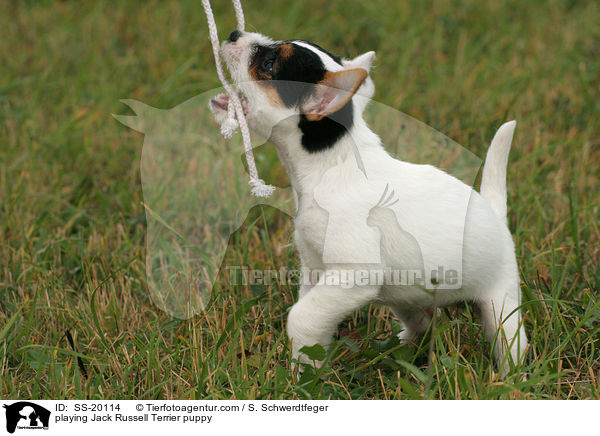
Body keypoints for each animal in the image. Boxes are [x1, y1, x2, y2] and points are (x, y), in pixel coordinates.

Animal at [209, 29, 528, 374]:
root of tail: (495, 214)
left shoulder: (356, 273)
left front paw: (301, 372)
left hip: (502, 309)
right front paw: (308, 365)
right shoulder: (316, 270)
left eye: (268, 64)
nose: (234, 33)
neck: (330, 164)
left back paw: (508, 378)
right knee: (422, 324)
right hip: (408, 299)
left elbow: (302, 315)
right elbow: (313, 313)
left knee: (511, 347)